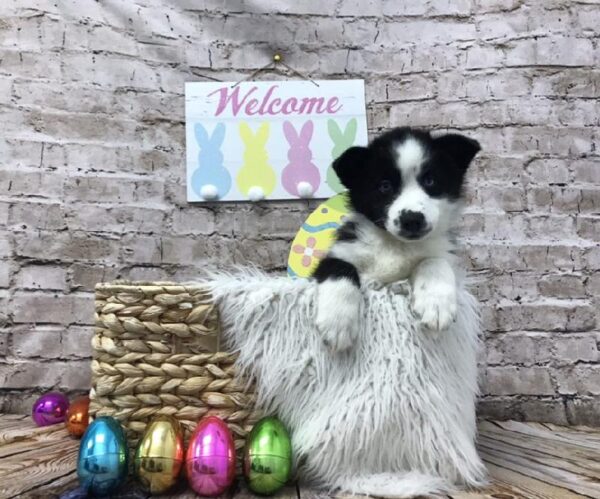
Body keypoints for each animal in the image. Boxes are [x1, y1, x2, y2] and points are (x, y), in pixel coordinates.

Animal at [312, 127, 480, 354]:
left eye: (430, 181)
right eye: (385, 186)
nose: (412, 219)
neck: (396, 245)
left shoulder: (443, 254)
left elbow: (434, 261)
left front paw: (436, 306)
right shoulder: (341, 251)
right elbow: (340, 268)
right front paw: (337, 323)